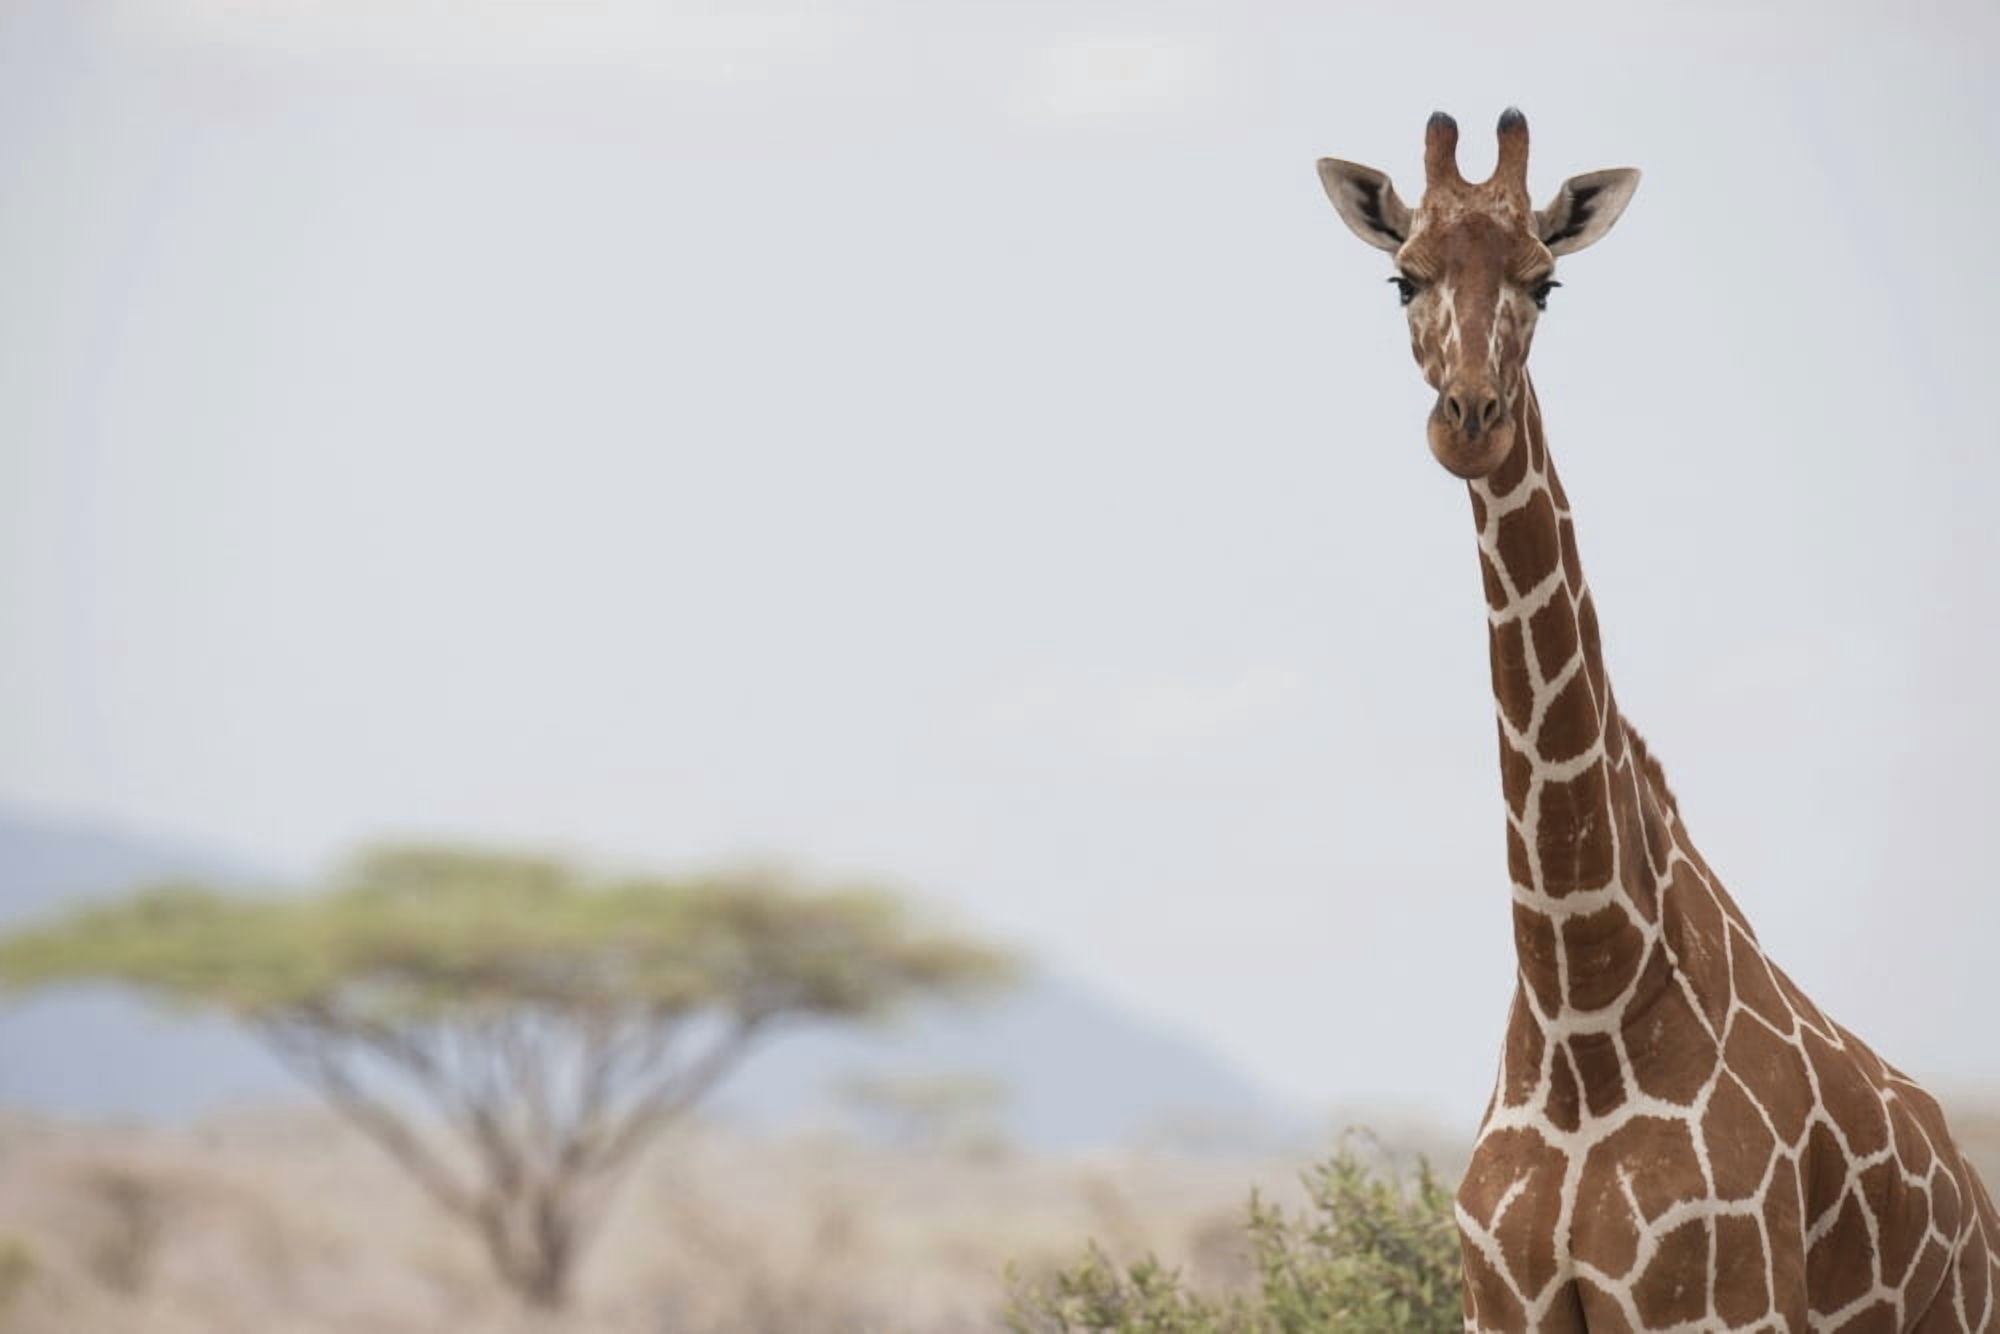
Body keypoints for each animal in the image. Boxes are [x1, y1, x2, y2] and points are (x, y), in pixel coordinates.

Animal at [1316, 110, 2000, 1330]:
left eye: (1544, 283)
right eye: (1402, 277)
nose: (1469, 421)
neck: (1582, 1004)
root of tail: (1980, 1208)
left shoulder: (1715, 1303)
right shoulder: (1499, 1304)